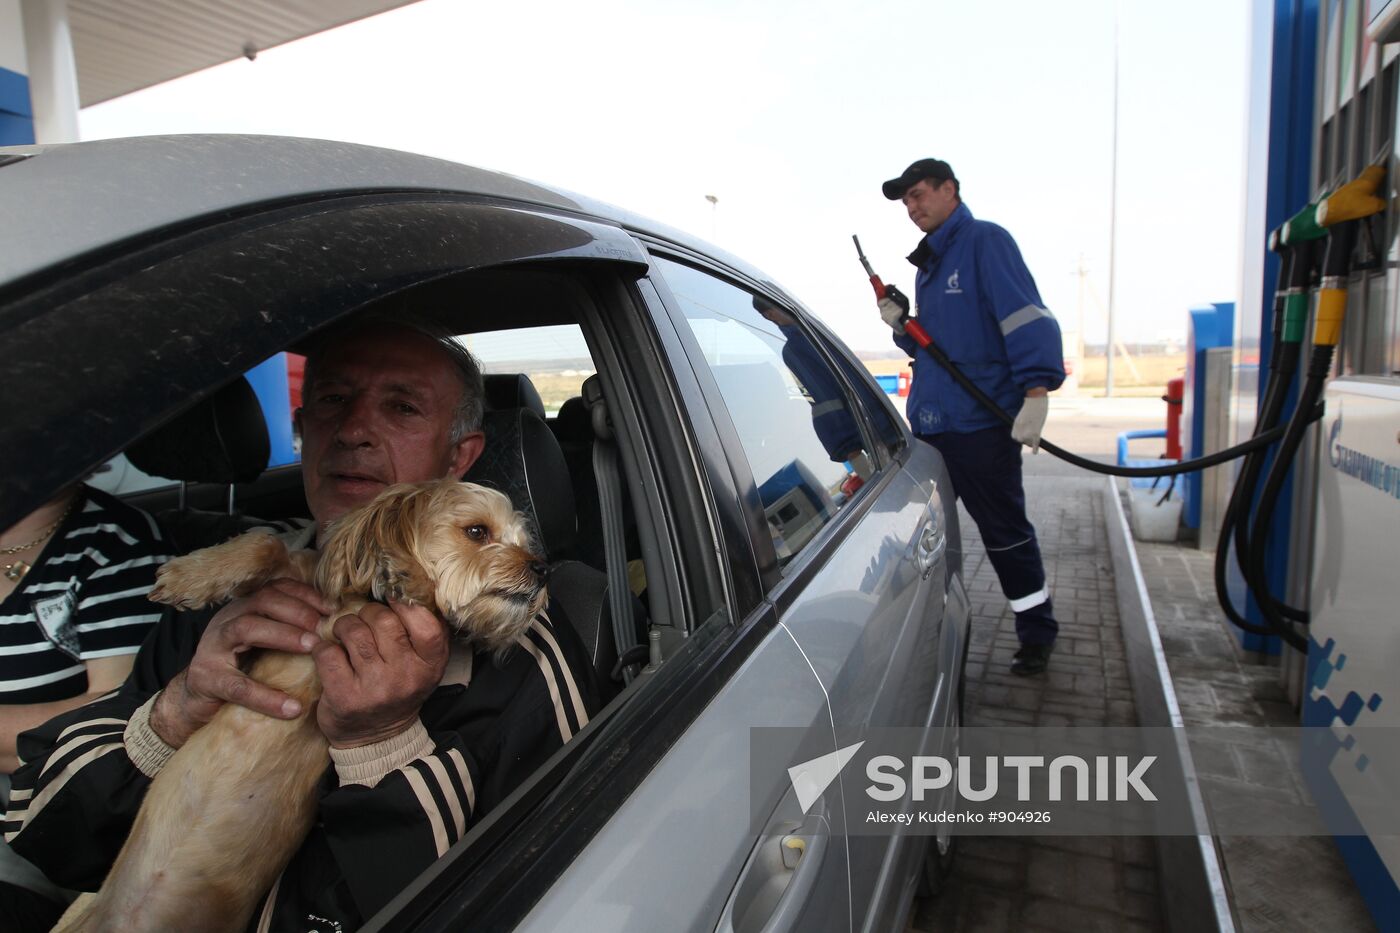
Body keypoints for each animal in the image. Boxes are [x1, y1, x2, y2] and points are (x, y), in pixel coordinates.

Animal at [60, 479, 551, 930]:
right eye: (476, 531)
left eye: (524, 541)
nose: (542, 568)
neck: (354, 608)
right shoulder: (295, 586)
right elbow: (266, 543)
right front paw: (189, 577)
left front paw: (408, 578)